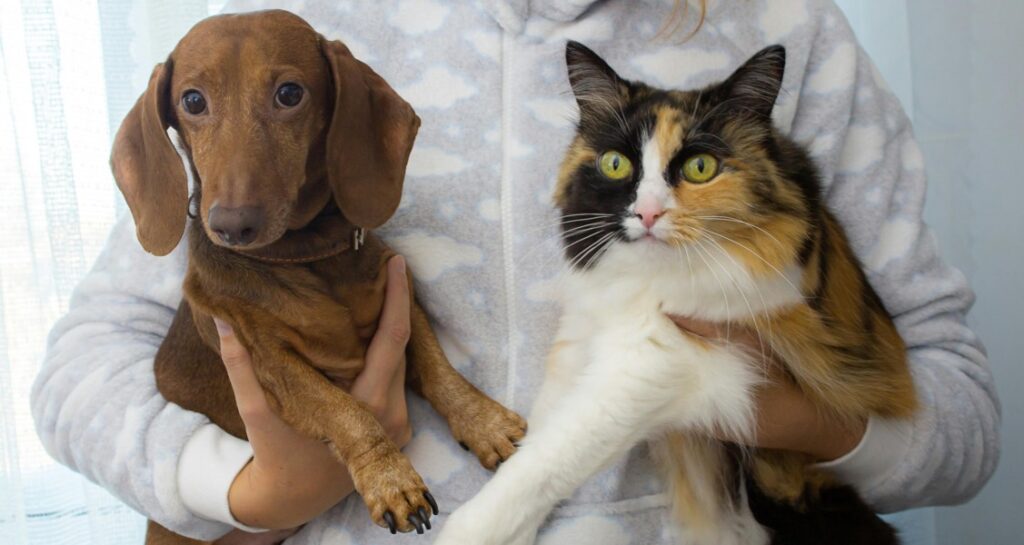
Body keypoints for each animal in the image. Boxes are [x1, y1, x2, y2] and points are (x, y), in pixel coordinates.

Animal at [436, 43, 917, 545]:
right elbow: (541, 437)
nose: (647, 213)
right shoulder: (580, 340)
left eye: (699, 167)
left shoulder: (658, 361)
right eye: (615, 163)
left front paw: (468, 530)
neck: (642, 281)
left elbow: (549, 458)